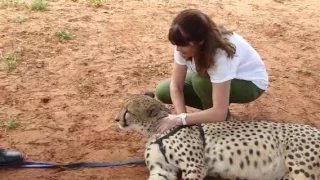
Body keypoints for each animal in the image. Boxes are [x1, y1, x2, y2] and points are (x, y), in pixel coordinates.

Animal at [115, 93, 320, 180]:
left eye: (127, 111)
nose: (116, 119)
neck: (155, 131)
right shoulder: (162, 169)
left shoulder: (195, 166)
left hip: (301, 168)